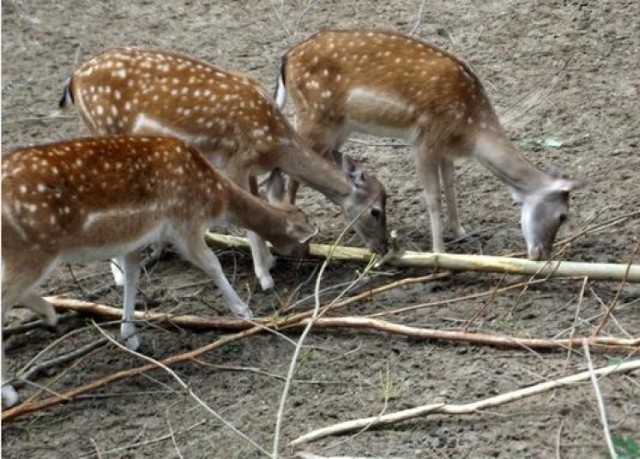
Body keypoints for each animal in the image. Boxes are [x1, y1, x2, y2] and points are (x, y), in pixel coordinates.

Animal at [1, 135, 316, 408]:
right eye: (305, 235)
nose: (309, 254)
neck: (214, 196)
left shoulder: (135, 238)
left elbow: (132, 274)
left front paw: (129, 334)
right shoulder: (184, 221)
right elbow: (211, 264)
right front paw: (244, 311)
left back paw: (48, 314)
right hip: (30, 250)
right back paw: (10, 391)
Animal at [61, 47, 390, 292]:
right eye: (376, 211)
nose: (384, 247)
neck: (274, 142)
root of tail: (73, 80)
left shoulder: (253, 169)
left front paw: (269, 262)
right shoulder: (235, 161)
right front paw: (265, 278)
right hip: (102, 128)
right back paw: (119, 275)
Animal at [272, 29, 588, 262]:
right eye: (563, 215)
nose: (542, 254)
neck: (471, 130)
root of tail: (285, 59)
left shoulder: (445, 146)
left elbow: (450, 183)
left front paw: (461, 231)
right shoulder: (425, 138)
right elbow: (432, 195)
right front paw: (439, 252)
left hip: (338, 128)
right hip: (314, 118)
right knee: (291, 171)